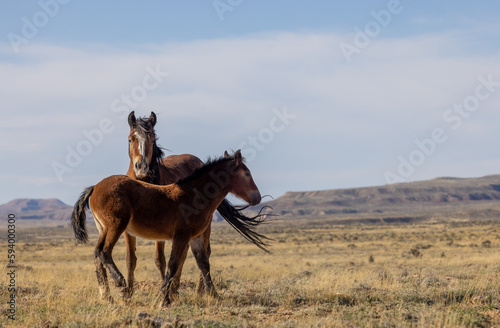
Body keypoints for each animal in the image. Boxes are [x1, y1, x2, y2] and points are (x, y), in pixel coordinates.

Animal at [74, 150, 264, 306]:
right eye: (247, 173)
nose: (258, 198)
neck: (194, 195)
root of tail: (95, 187)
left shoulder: (194, 238)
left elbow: (203, 263)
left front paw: (214, 295)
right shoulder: (181, 236)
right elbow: (173, 264)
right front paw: (163, 299)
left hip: (103, 229)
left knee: (97, 254)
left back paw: (106, 297)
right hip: (116, 225)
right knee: (104, 252)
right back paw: (121, 286)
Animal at [123, 111, 270, 298]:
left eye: (152, 140)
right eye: (130, 139)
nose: (141, 167)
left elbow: (160, 260)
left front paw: (164, 291)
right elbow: (131, 260)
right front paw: (128, 293)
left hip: (204, 227)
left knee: (202, 253)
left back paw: (196, 290)